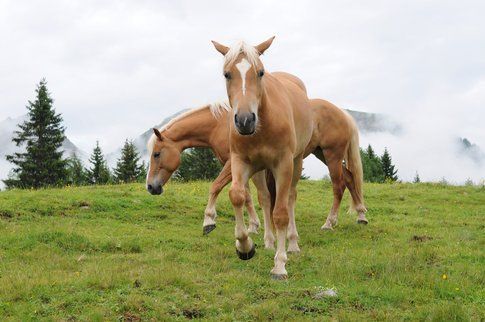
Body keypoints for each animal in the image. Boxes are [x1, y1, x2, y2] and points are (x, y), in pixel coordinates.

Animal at [209, 36, 314, 280]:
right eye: (227, 74)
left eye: (260, 72)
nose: (245, 120)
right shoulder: (240, 162)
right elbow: (237, 196)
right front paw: (245, 246)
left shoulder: (283, 165)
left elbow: (281, 214)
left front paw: (280, 264)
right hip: (259, 170)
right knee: (265, 199)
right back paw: (268, 241)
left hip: (296, 162)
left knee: (290, 198)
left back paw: (292, 244)